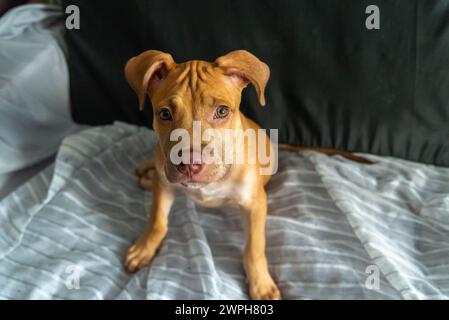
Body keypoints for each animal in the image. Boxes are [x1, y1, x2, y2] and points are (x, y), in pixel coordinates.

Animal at [123, 48, 280, 298]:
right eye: (164, 114)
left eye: (222, 111)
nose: (189, 164)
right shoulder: (164, 187)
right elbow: (157, 221)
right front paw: (144, 248)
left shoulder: (254, 203)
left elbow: (255, 246)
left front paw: (261, 284)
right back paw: (147, 173)